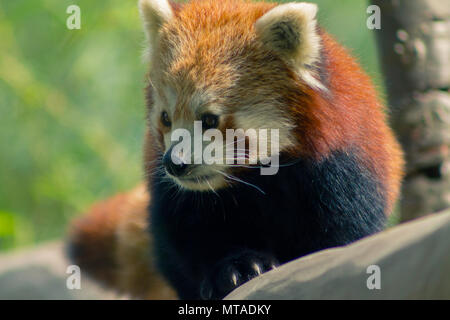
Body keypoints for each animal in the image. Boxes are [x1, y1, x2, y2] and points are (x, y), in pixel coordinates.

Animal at [67, 0, 404, 300]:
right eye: (165, 118)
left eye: (209, 119)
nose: (174, 164)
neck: (256, 180)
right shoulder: (178, 198)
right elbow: (187, 238)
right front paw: (235, 268)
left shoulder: (339, 171)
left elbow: (340, 234)